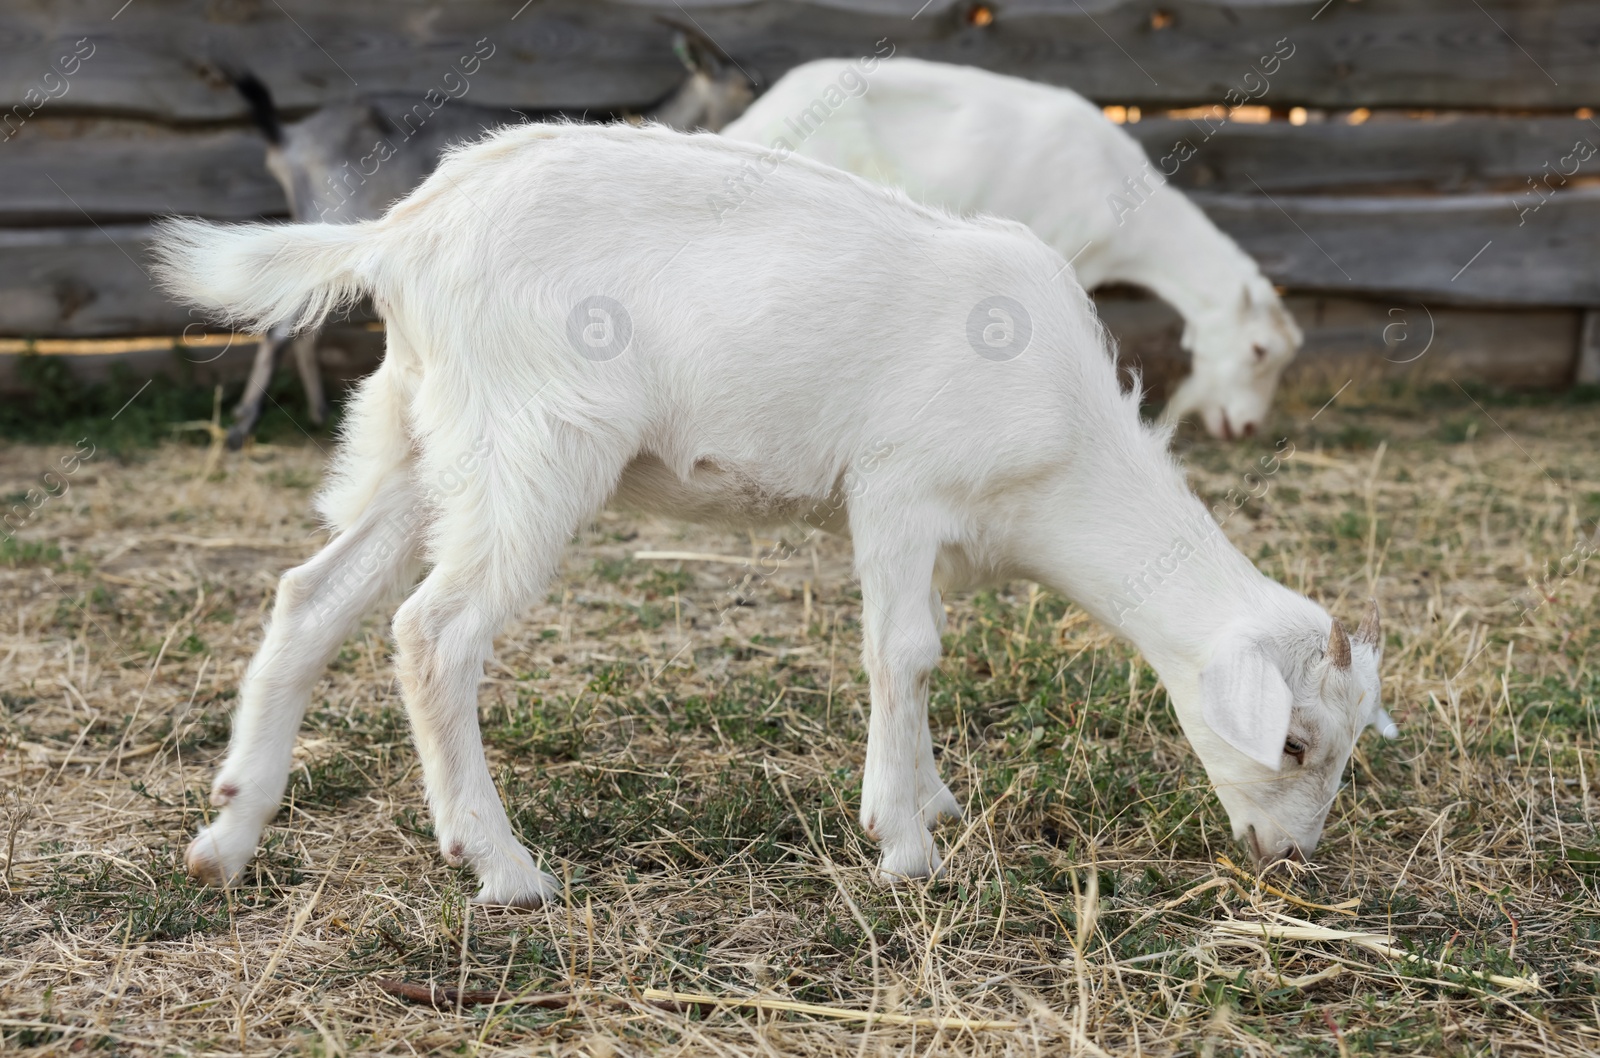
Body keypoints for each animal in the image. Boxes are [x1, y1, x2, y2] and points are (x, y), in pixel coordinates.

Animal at [156, 120, 1395, 902]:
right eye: (1292, 741)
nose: (1290, 861)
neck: (1069, 450)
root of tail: (402, 234)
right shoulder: (897, 489)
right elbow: (907, 651)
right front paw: (904, 846)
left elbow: (922, 656)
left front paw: (932, 800)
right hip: (536, 446)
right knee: (433, 631)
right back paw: (502, 867)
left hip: (420, 431)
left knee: (311, 597)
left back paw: (227, 836)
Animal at [220, 28, 761, 448]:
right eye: (747, 86)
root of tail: (289, 141)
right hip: (335, 211)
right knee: (280, 324)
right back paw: (242, 429)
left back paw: (314, 415)